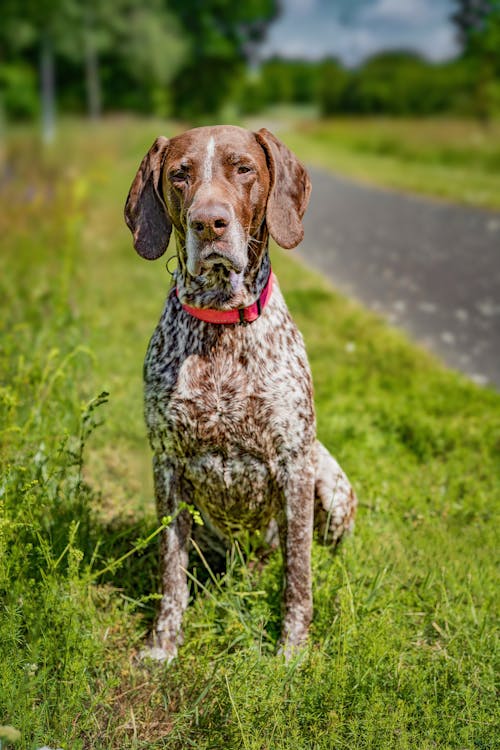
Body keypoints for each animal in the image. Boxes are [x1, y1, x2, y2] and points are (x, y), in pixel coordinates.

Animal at [124, 126, 356, 660]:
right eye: (179, 173)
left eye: (244, 168)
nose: (209, 223)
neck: (221, 324)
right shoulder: (167, 465)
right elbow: (171, 575)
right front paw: (164, 645)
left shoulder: (294, 464)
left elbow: (298, 575)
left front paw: (292, 649)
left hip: (332, 485)